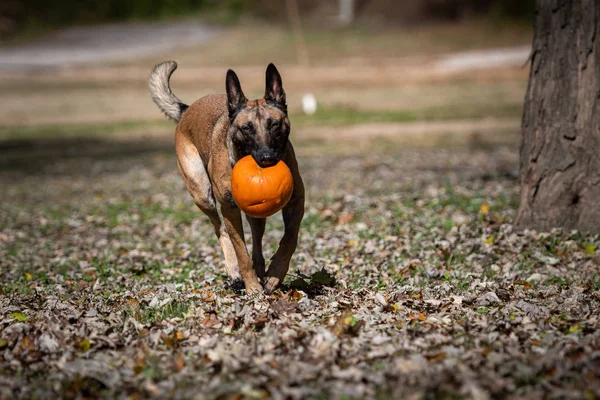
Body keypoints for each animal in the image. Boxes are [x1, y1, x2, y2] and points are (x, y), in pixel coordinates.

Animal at [146, 62, 304, 294]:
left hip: (256, 215)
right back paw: (234, 270)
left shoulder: (296, 202)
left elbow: (290, 238)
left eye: (274, 125)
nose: (266, 158)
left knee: (256, 240)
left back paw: (261, 270)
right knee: (220, 230)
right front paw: (252, 287)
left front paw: (275, 275)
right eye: (247, 128)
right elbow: (241, 252)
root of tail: (187, 110)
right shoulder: (229, 209)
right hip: (203, 195)